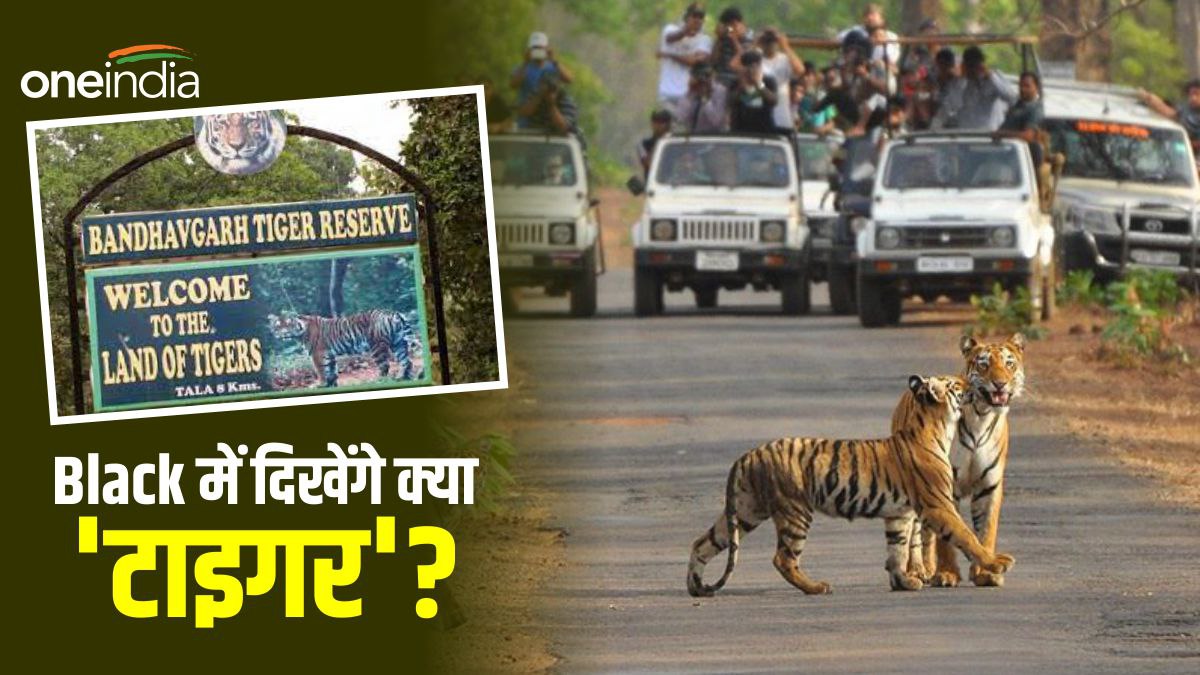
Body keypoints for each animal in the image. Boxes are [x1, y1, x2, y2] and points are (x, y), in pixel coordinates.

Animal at [267, 309, 420, 387]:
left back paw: (380, 381)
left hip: (377, 347)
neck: (300, 332)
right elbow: (331, 371)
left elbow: (321, 371)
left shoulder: (317, 354)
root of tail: (392, 313)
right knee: (407, 361)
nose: (283, 334)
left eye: (288, 324)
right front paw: (331, 385)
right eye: (278, 326)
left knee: (385, 365)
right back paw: (403, 377)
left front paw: (321, 384)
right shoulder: (329, 355)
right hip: (398, 343)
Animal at [687, 375, 1015, 597]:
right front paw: (997, 563)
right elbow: (967, 536)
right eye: (956, 384)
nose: (971, 382)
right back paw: (817, 587)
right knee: (783, 558)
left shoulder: (900, 514)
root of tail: (748, 455)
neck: (936, 427)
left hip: (746, 510)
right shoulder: (938, 505)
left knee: (702, 542)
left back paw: (696, 587)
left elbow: (897, 549)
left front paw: (903, 582)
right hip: (795, 510)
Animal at [899, 333, 1026, 588]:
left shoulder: (989, 486)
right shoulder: (944, 486)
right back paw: (918, 571)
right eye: (984, 364)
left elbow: (985, 531)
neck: (981, 416)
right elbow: (946, 538)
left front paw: (986, 573)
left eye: (1009, 364)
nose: (1000, 383)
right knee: (916, 532)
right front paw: (947, 574)